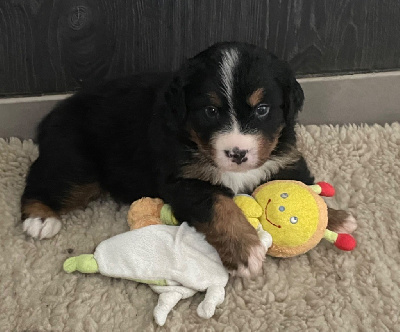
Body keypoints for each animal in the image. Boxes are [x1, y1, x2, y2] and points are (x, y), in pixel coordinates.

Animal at [20, 42, 356, 278]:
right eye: (210, 111)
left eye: (262, 110)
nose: (237, 153)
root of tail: (52, 115)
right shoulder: (184, 180)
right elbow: (222, 207)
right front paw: (245, 250)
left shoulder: (282, 157)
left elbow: (303, 186)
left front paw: (335, 217)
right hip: (78, 165)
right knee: (41, 181)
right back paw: (40, 219)